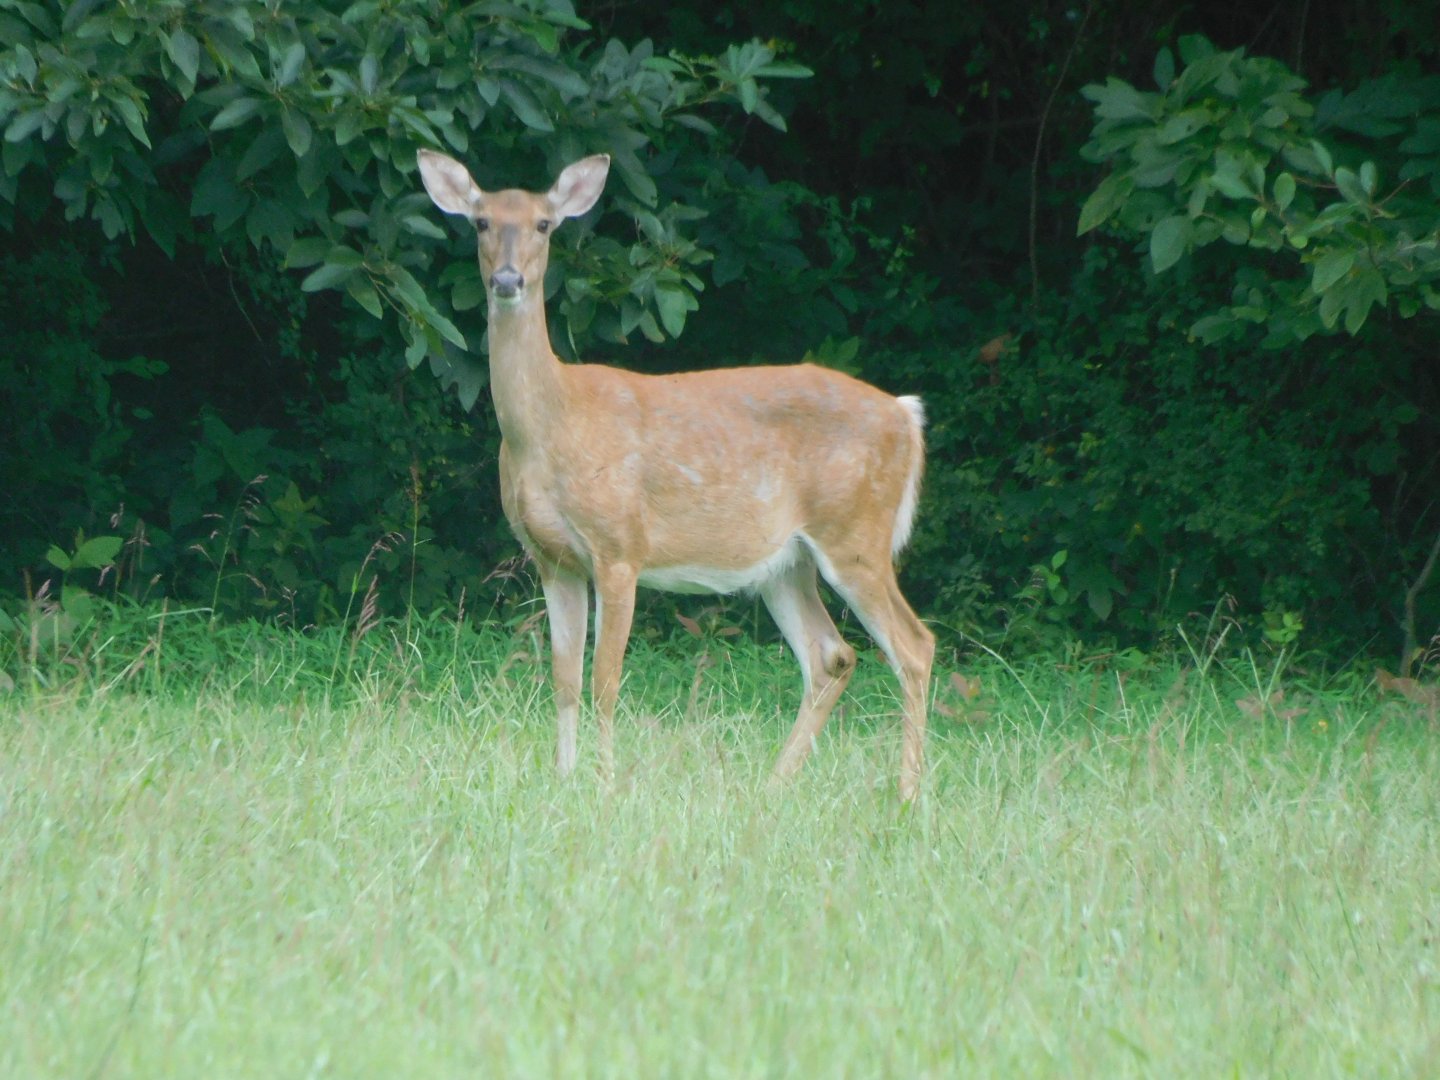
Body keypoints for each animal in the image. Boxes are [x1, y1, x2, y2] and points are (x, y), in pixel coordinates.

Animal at [417, 149, 936, 800]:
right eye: (482, 222)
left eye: (543, 224)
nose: (508, 281)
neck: (552, 426)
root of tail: (906, 415)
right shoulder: (551, 558)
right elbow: (563, 679)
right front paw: (564, 780)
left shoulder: (619, 547)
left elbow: (605, 681)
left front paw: (605, 785)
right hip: (786, 563)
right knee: (831, 655)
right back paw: (774, 784)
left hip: (856, 533)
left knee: (915, 646)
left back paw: (908, 794)